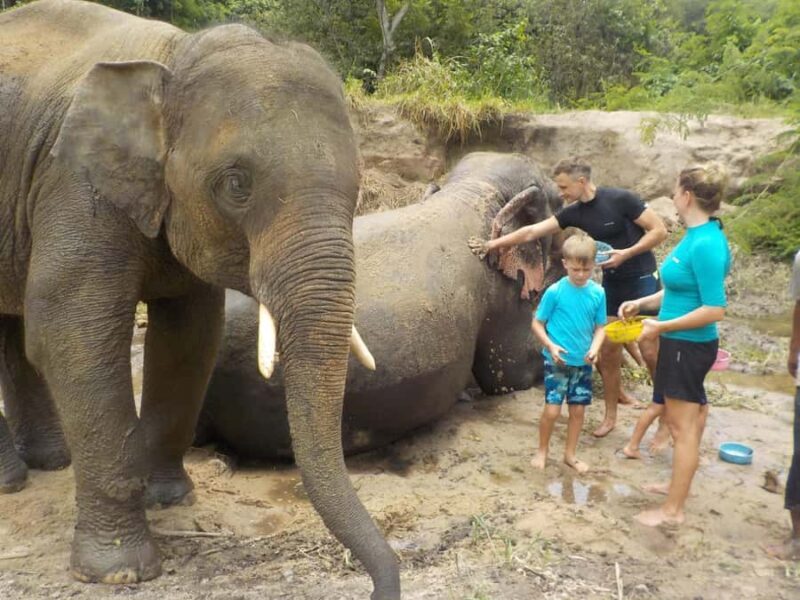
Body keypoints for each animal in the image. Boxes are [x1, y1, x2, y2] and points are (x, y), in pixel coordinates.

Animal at [0, 1, 399, 597]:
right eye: (236, 184)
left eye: (357, 187)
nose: (381, 585)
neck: (176, 54)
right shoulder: (72, 183)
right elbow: (71, 330)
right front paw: (118, 571)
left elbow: (191, 334)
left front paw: (170, 498)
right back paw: (12, 481)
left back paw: (50, 463)